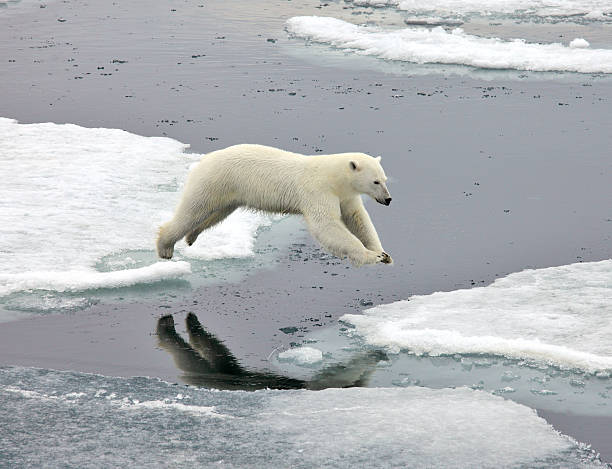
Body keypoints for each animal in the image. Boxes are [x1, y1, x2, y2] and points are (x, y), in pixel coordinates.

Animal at [157, 144, 392, 266]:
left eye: (385, 179)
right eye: (375, 181)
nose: (388, 199)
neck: (333, 177)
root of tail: (203, 160)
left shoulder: (345, 195)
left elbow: (358, 218)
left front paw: (384, 254)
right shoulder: (318, 190)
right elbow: (327, 225)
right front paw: (371, 256)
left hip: (229, 192)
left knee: (215, 214)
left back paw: (192, 236)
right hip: (214, 181)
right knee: (193, 210)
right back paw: (165, 247)